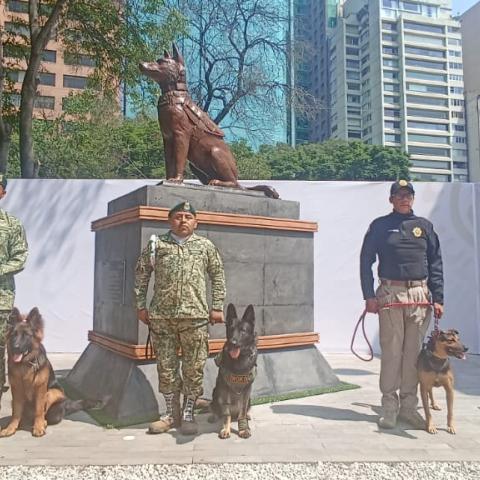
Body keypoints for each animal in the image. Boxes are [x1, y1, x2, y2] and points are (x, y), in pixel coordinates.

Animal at [0, 308, 98, 438]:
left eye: (26, 335)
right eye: (14, 335)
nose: (15, 347)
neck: (26, 364)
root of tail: (65, 406)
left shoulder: (41, 389)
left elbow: (39, 410)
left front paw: (39, 427)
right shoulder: (16, 390)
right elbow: (16, 412)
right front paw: (10, 428)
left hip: (52, 392)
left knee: (44, 413)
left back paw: (43, 422)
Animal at [209, 304, 256, 438]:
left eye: (243, 330)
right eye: (231, 329)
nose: (233, 342)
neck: (239, 360)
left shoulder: (246, 391)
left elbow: (242, 412)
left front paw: (243, 428)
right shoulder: (224, 390)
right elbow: (226, 414)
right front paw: (226, 429)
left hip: (249, 398)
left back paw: (247, 415)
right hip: (216, 392)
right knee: (214, 407)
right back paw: (214, 415)